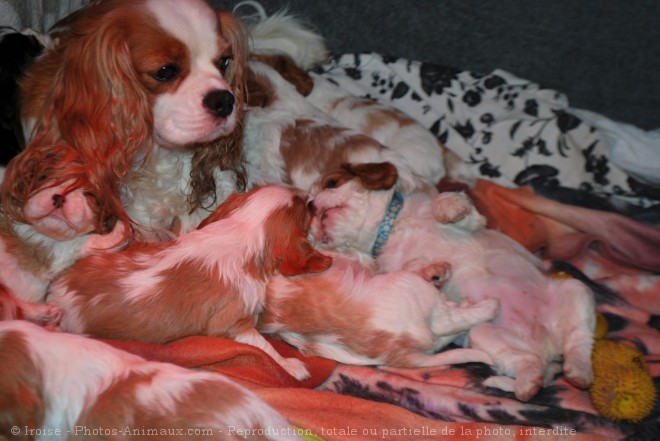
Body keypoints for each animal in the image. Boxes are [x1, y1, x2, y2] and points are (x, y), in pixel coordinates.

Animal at [47, 184, 332, 380]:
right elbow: (265, 348)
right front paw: (289, 365)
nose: (311, 199)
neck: (243, 227)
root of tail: (57, 294)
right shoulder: (233, 324)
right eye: (306, 209)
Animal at [306, 162, 596, 402]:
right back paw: (530, 384)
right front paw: (433, 272)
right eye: (307, 210)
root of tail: (549, 348)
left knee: (579, 338)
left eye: (331, 183)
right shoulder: (393, 268)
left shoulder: (473, 222)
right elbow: (412, 268)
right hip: (486, 334)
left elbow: (452, 207)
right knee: (529, 361)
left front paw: (449, 207)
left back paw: (577, 370)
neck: (393, 228)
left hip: (575, 288)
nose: (311, 207)